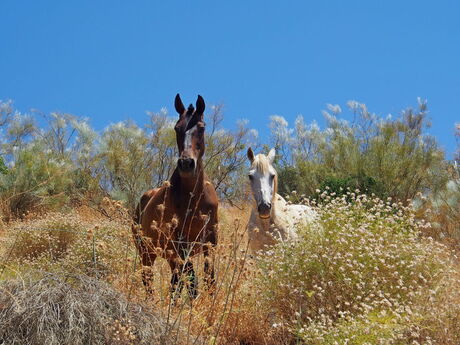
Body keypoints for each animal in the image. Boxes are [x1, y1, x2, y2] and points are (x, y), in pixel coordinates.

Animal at [132, 93, 218, 298]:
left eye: (201, 127)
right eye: (177, 128)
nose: (186, 163)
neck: (194, 199)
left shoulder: (211, 239)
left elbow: (209, 278)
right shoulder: (180, 242)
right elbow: (193, 283)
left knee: (175, 282)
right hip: (147, 253)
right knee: (149, 279)